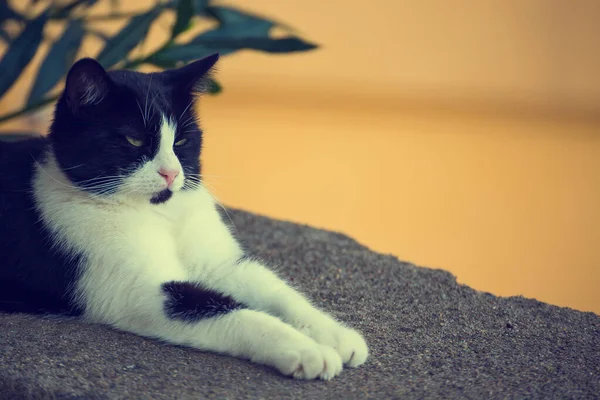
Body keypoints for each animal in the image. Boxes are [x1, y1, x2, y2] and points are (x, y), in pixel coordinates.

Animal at [0, 54, 368, 382]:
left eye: (182, 140)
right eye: (133, 139)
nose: (171, 173)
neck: (160, 213)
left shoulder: (220, 265)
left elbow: (278, 292)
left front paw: (336, 335)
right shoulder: (135, 290)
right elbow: (231, 311)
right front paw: (307, 350)